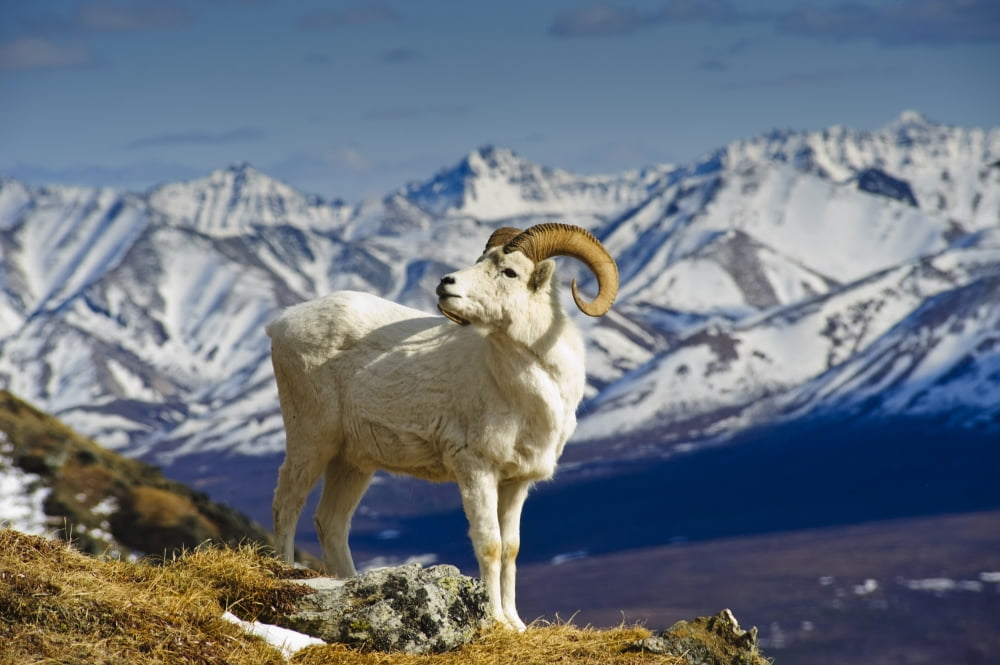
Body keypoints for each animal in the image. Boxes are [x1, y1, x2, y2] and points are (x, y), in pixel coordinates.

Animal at [266, 222, 618, 630]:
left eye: (509, 272)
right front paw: (495, 620)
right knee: (287, 505)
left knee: (331, 523)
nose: (445, 283)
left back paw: (351, 585)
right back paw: (288, 574)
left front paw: (516, 623)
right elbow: (490, 544)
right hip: (311, 439)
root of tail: (280, 324)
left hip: (353, 462)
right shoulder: (476, 469)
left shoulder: (516, 483)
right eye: (482, 260)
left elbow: (512, 549)